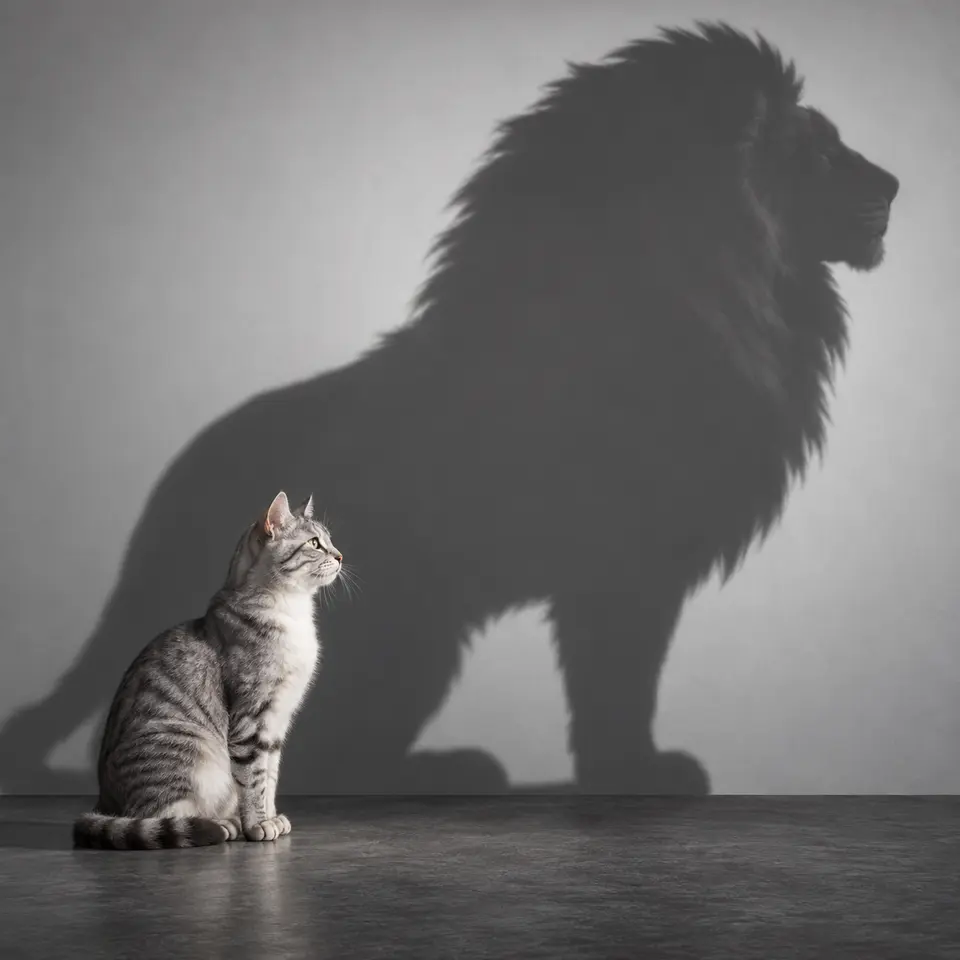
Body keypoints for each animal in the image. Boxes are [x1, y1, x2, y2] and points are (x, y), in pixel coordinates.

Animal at [0, 22, 899, 795]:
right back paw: (457, 769)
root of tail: (156, 520)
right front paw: (632, 776)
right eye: (815, 152)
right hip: (415, 628)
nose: (895, 184)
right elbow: (617, 677)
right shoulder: (623, 563)